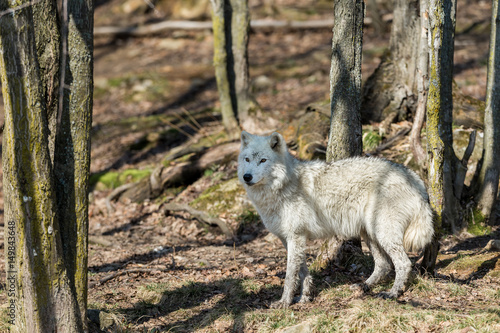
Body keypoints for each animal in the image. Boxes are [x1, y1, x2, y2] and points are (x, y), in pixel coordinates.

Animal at [238, 131, 434, 308]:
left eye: (263, 160)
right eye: (247, 159)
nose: (247, 177)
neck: (281, 187)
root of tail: (414, 177)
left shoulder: (295, 236)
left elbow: (289, 275)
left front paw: (284, 302)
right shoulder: (290, 239)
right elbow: (302, 271)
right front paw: (305, 297)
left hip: (383, 233)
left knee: (403, 263)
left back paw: (393, 293)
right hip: (370, 233)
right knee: (384, 264)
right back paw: (364, 286)